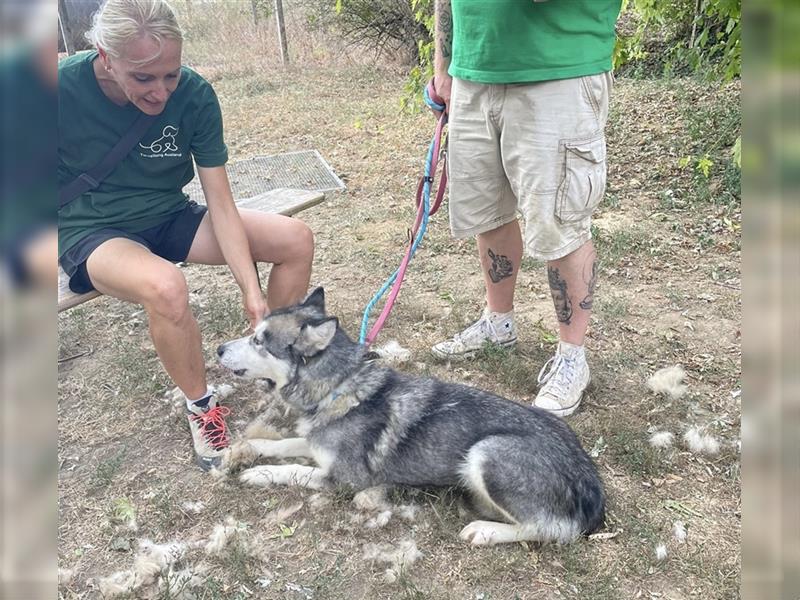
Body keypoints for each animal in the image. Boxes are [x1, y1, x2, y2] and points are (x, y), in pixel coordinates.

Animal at [216, 288, 604, 548]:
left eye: (259, 341)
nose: (218, 349)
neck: (340, 387)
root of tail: (590, 481)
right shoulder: (314, 441)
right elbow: (282, 444)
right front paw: (245, 449)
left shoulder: (345, 479)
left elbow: (293, 469)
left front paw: (259, 473)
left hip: (486, 452)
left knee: (552, 530)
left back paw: (486, 530)